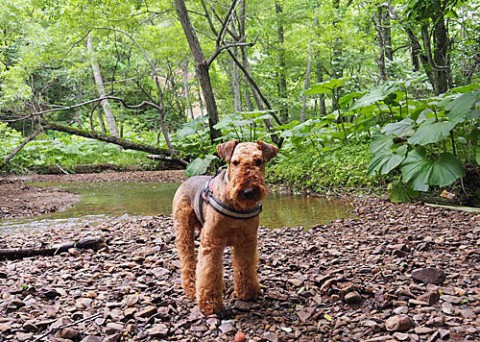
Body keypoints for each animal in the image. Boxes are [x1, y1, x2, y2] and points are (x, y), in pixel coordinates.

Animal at [172, 140, 278, 316]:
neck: (237, 207)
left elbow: (245, 267)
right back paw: (191, 289)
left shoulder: (247, 242)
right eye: (235, 162)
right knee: (188, 262)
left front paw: (247, 292)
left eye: (258, 161)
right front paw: (211, 305)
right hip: (184, 231)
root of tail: (188, 178)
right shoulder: (212, 242)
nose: (248, 191)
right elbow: (209, 272)